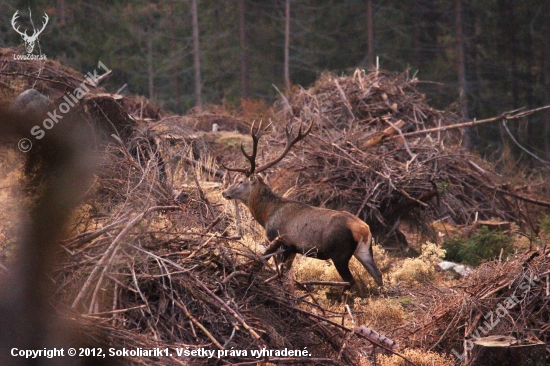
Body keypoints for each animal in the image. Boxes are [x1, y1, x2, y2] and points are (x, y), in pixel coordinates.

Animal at [223, 121, 384, 294]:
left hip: (339, 253)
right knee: (378, 275)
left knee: (350, 280)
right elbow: (286, 272)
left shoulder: (282, 242)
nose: (224, 192)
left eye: (240, 181)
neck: (267, 214)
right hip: (364, 250)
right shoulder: (293, 249)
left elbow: (279, 270)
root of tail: (363, 229)